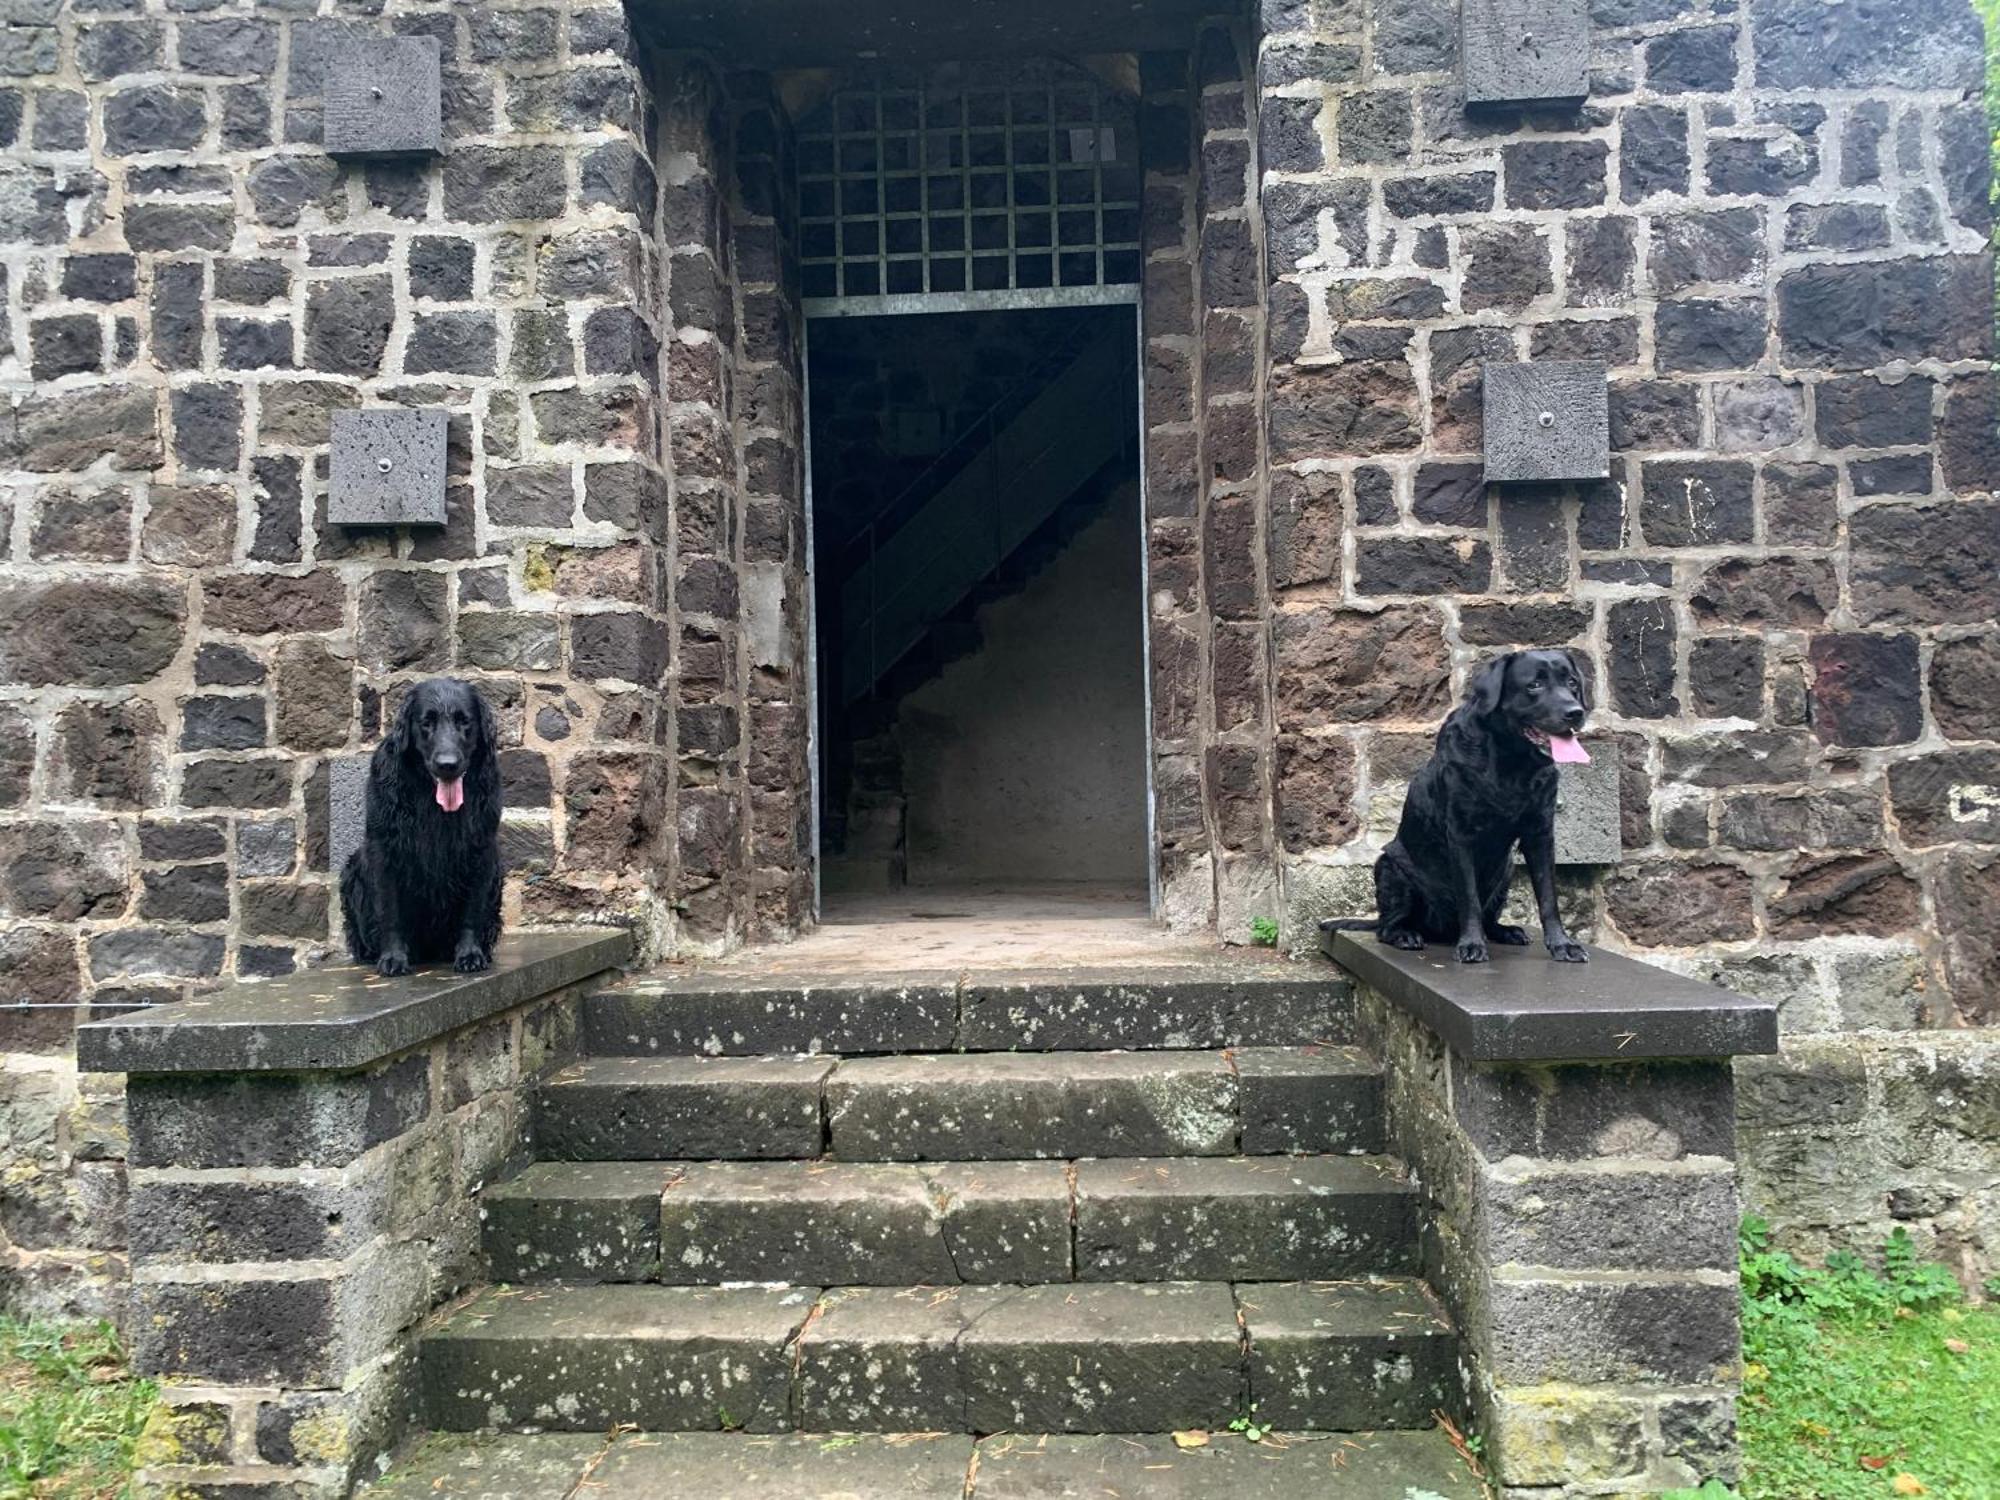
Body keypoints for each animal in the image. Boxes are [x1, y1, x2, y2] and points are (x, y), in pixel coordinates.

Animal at [340, 680, 504, 980]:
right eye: (426, 722)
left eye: (464, 721)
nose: (447, 765)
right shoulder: (384, 849)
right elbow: (390, 911)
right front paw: (393, 958)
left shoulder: (482, 851)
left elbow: (472, 911)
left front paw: (470, 955)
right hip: (352, 868)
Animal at [1328, 652, 1592, 968]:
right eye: (1535, 684)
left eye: (1572, 682)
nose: (1575, 712)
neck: (1511, 762)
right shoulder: (1461, 835)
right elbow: (1469, 899)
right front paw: (1471, 945)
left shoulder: (1540, 833)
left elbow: (1549, 897)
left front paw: (1563, 945)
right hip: (1392, 868)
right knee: (1386, 926)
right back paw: (1405, 935)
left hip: (1505, 872)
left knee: (1491, 917)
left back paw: (1506, 931)